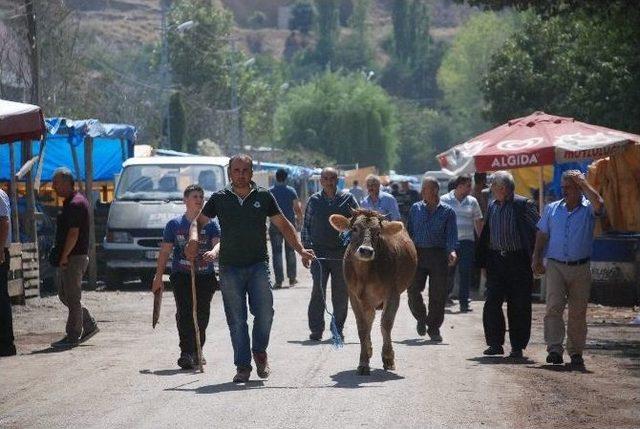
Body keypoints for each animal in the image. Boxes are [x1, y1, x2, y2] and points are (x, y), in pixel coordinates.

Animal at [328, 209, 418, 372]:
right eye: (354, 228)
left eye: (378, 232)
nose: (365, 251)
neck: (365, 273)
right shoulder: (354, 296)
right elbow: (363, 327)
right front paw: (363, 361)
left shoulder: (393, 293)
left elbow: (386, 324)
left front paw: (388, 358)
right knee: (369, 320)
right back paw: (368, 350)